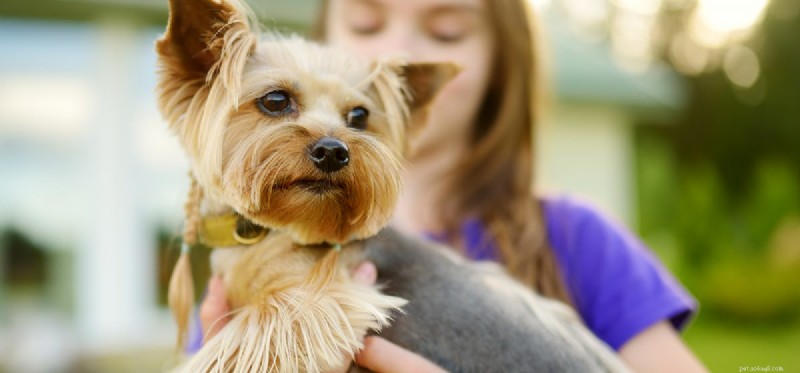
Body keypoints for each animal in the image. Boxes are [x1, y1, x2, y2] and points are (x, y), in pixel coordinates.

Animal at [156, 0, 632, 370]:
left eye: (359, 116)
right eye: (275, 100)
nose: (334, 151)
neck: (270, 231)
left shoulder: (320, 304)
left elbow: (233, 350)